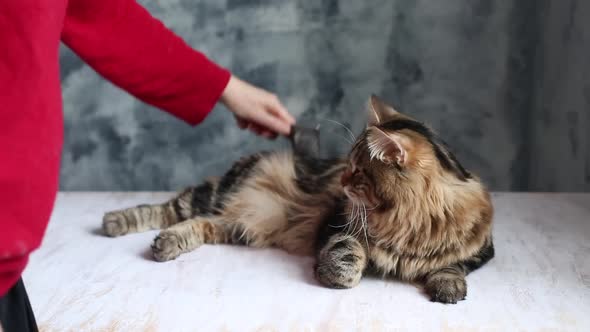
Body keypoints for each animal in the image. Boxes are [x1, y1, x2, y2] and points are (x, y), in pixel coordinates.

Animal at [103, 94, 494, 304]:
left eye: (357, 170)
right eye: (347, 164)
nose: (342, 179)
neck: (411, 225)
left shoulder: (480, 250)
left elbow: (453, 263)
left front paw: (447, 285)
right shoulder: (338, 226)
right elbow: (347, 261)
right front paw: (334, 274)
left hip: (241, 226)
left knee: (199, 224)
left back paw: (168, 243)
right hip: (218, 195)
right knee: (169, 209)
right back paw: (117, 223)